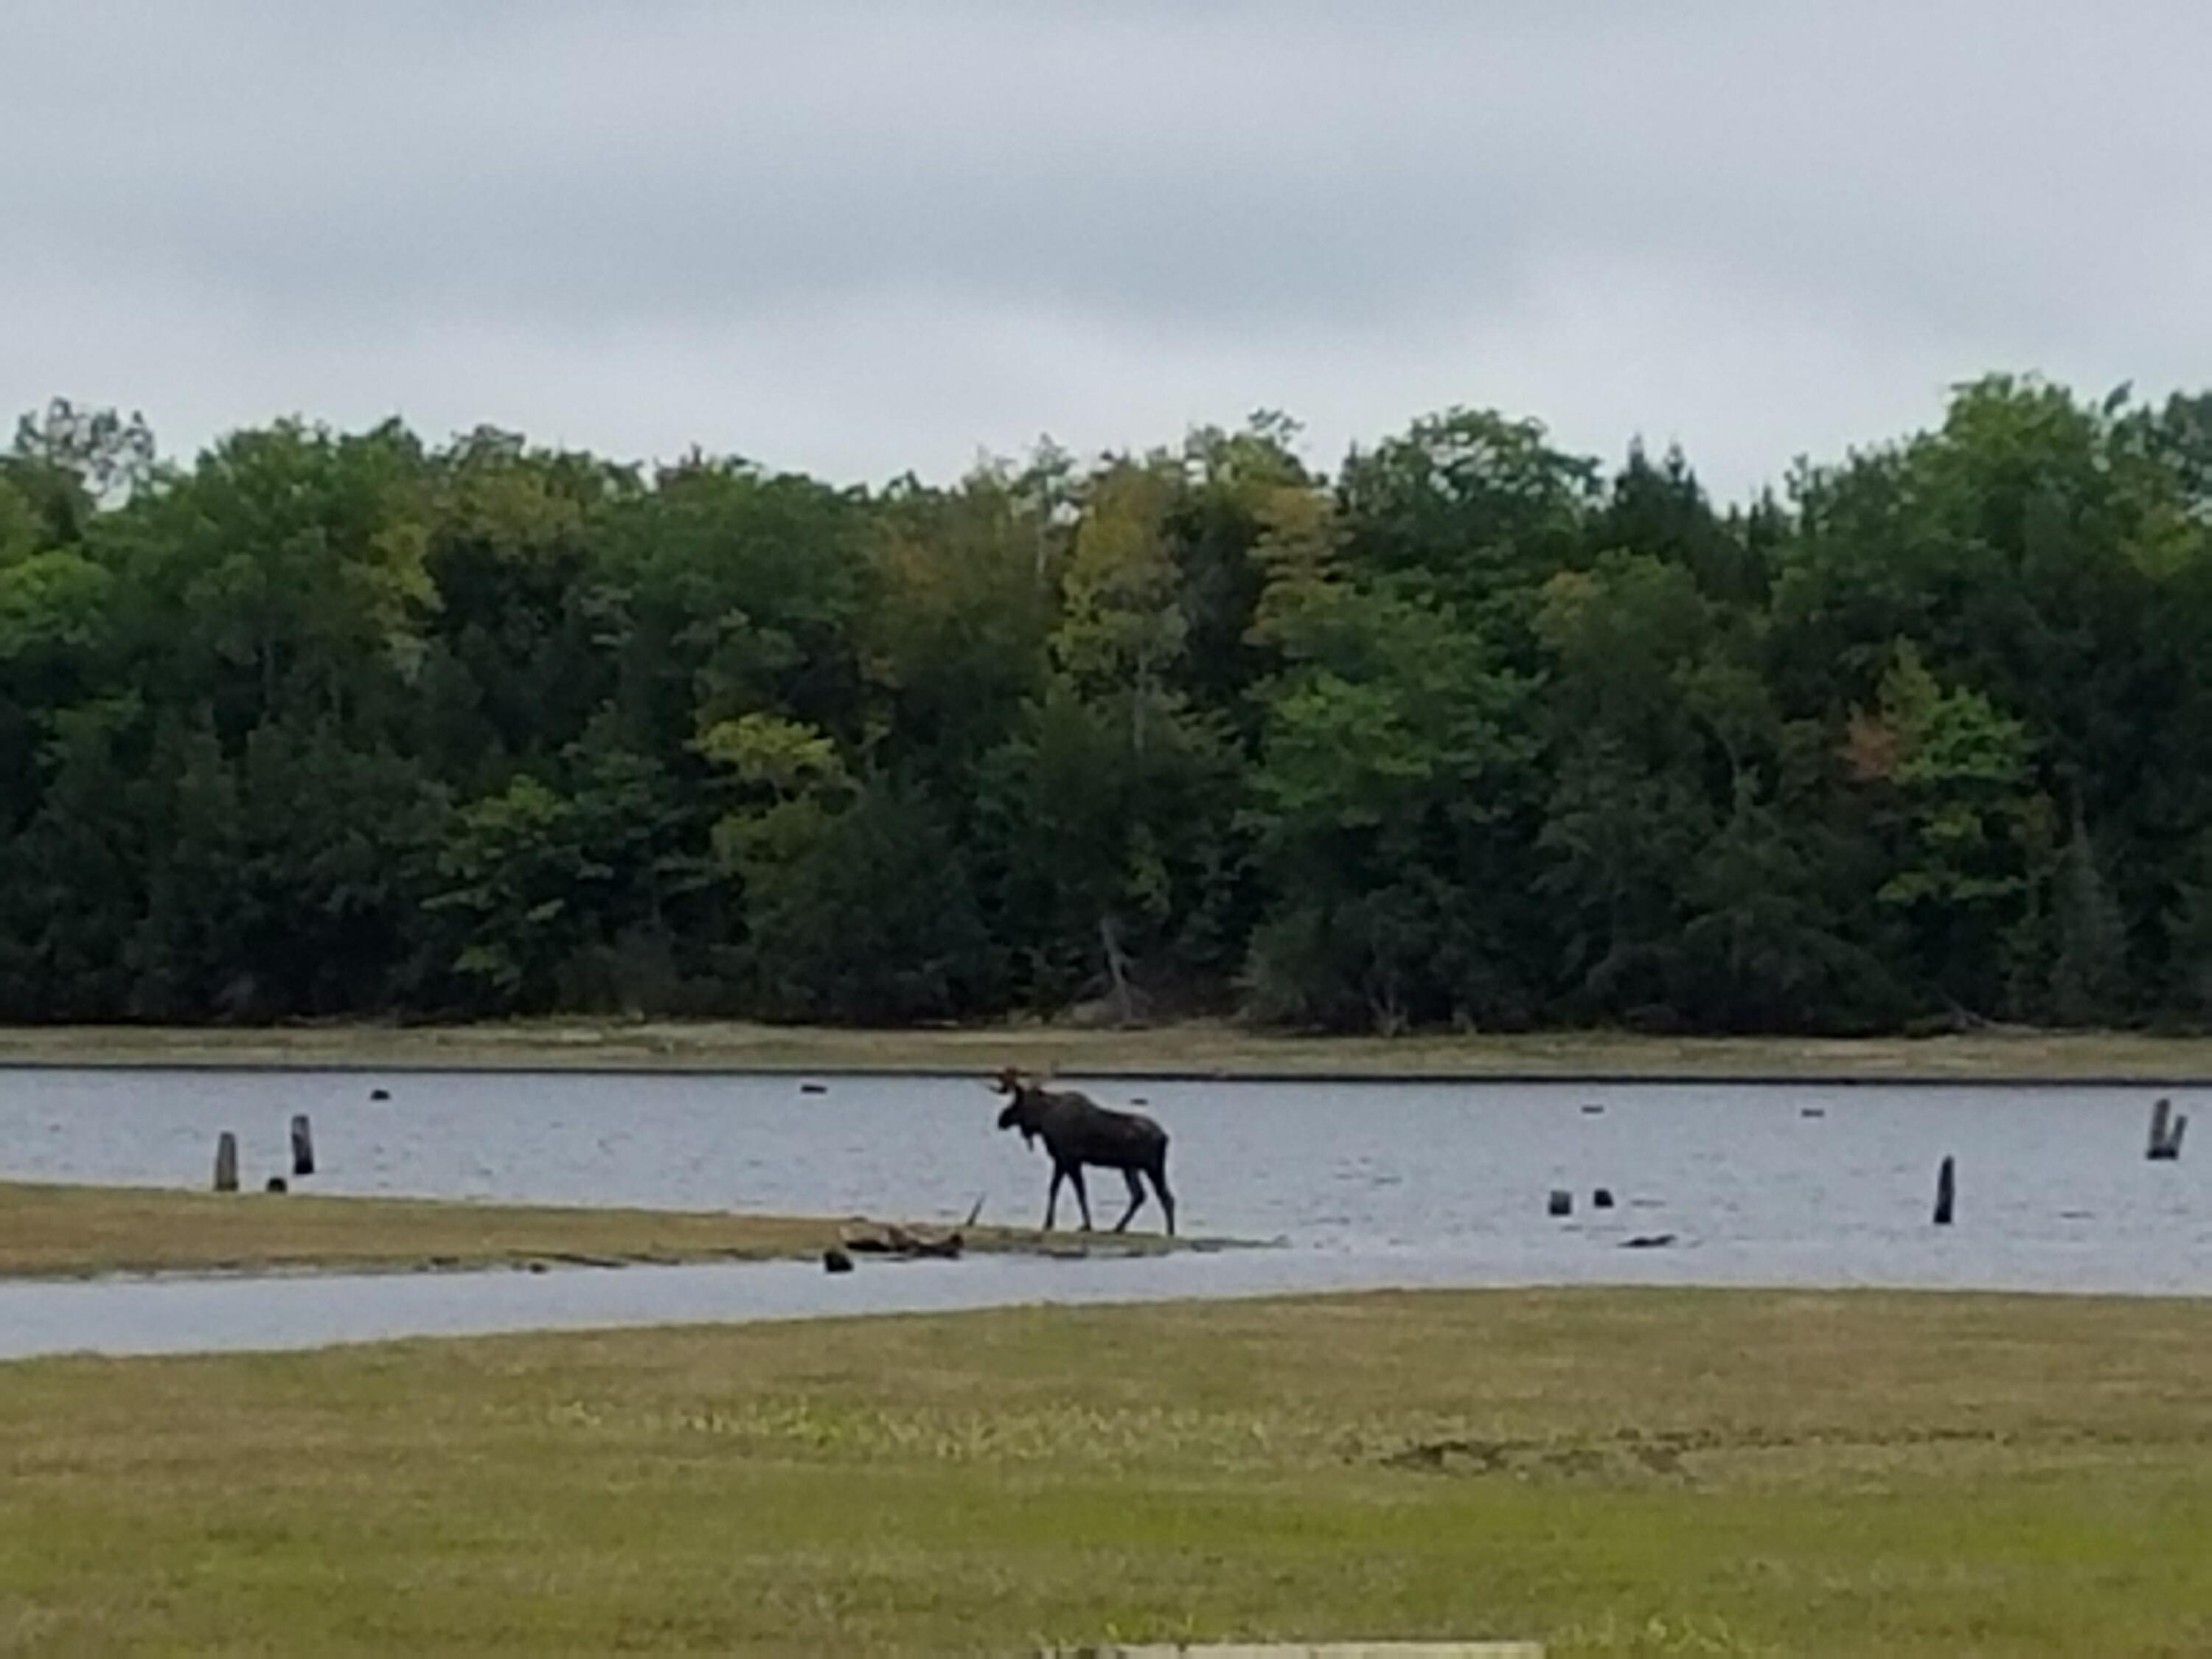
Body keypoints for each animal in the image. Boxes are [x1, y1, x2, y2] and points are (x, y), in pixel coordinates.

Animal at [990, 1066, 1176, 1237]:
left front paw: (1086, 1225)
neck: (1044, 1121)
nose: (1001, 1120)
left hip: (1151, 1167)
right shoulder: (1060, 1160)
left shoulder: (1070, 1159)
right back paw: (1122, 1228)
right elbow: (1053, 1189)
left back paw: (1165, 1231)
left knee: (1161, 1196)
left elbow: (1080, 1191)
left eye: (1016, 1102)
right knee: (1144, 1195)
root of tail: (1165, 1136)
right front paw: (1048, 1223)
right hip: (1132, 1167)